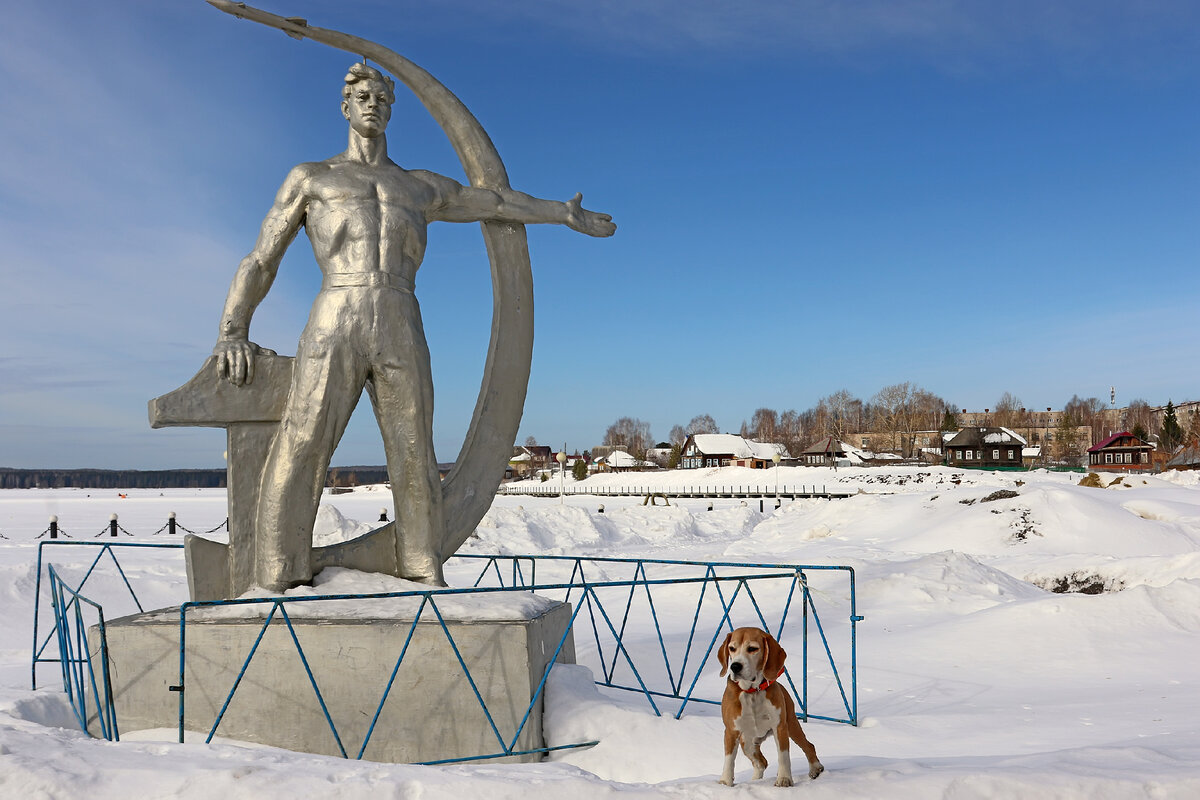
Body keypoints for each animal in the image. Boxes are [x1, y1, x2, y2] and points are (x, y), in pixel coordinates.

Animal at [715, 623, 820, 786]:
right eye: (732, 648)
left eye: (752, 648)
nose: (735, 666)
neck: (752, 691)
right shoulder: (731, 731)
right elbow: (729, 760)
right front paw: (725, 783)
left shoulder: (780, 727)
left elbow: (783, 756)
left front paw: (784, 779)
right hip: (747, 742)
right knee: (761, 762)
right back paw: (755, 780)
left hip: (792, 725)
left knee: (808, 746)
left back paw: (816, 768)